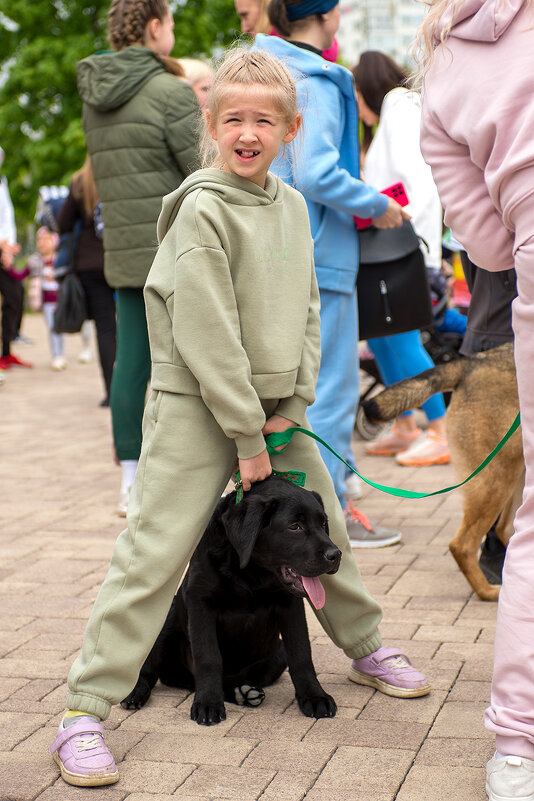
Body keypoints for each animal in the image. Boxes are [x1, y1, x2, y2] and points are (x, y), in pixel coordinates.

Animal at [121, 476, 342, 724]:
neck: (251, 572)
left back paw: (243, 692)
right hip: (165, 621)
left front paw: (314, 696)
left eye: (323, 524)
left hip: (277, 654)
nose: (335, 555)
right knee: (149, 669)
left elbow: (301, 653)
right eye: (295, 526)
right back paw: (135, 692)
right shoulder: (200, 601)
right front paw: (208, 703)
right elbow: (208, 657)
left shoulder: (290, 604)